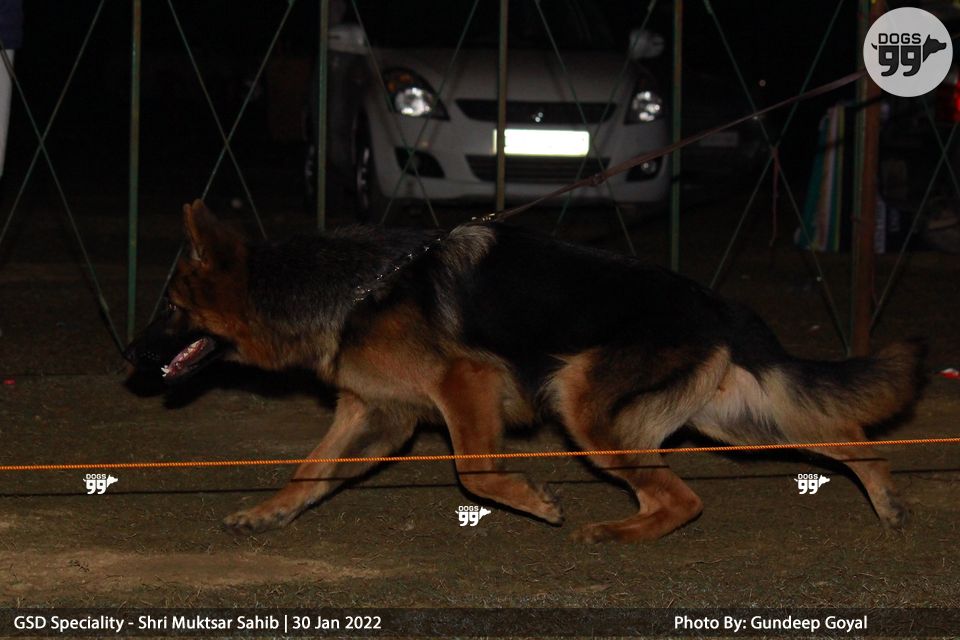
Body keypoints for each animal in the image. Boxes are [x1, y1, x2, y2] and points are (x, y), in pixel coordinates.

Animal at [124, 200, 924, 542]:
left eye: (170, 308)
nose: (128, 359)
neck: (353, 288)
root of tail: (719, 306)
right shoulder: (374, 413)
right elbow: (311, 469)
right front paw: (270, 512)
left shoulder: (464, 385)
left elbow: (474, 471)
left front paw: (532, 501)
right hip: (732, 420)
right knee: (843, 433)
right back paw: (885, 494)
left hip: (582, 402)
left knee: (684, 498)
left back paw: (617, 533)